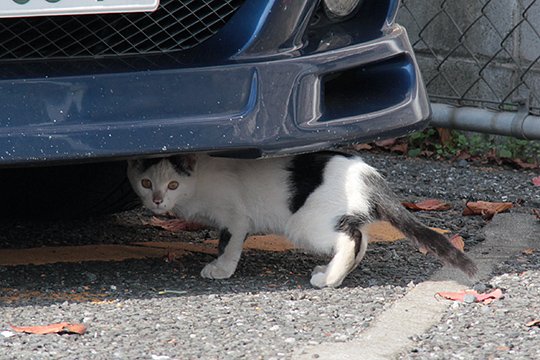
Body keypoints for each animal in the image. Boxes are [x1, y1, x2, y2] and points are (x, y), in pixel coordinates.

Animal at [127, 151, 476, 286]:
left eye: (173, 184)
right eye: (146, 183)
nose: (157, 200)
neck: (199, 179)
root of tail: (368, 175)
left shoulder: (235, 216)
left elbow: (228, 242)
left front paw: (221, 269)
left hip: (305, 223)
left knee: (351, 238)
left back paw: (329, 278)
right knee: (361, 238)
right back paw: (336, 272)